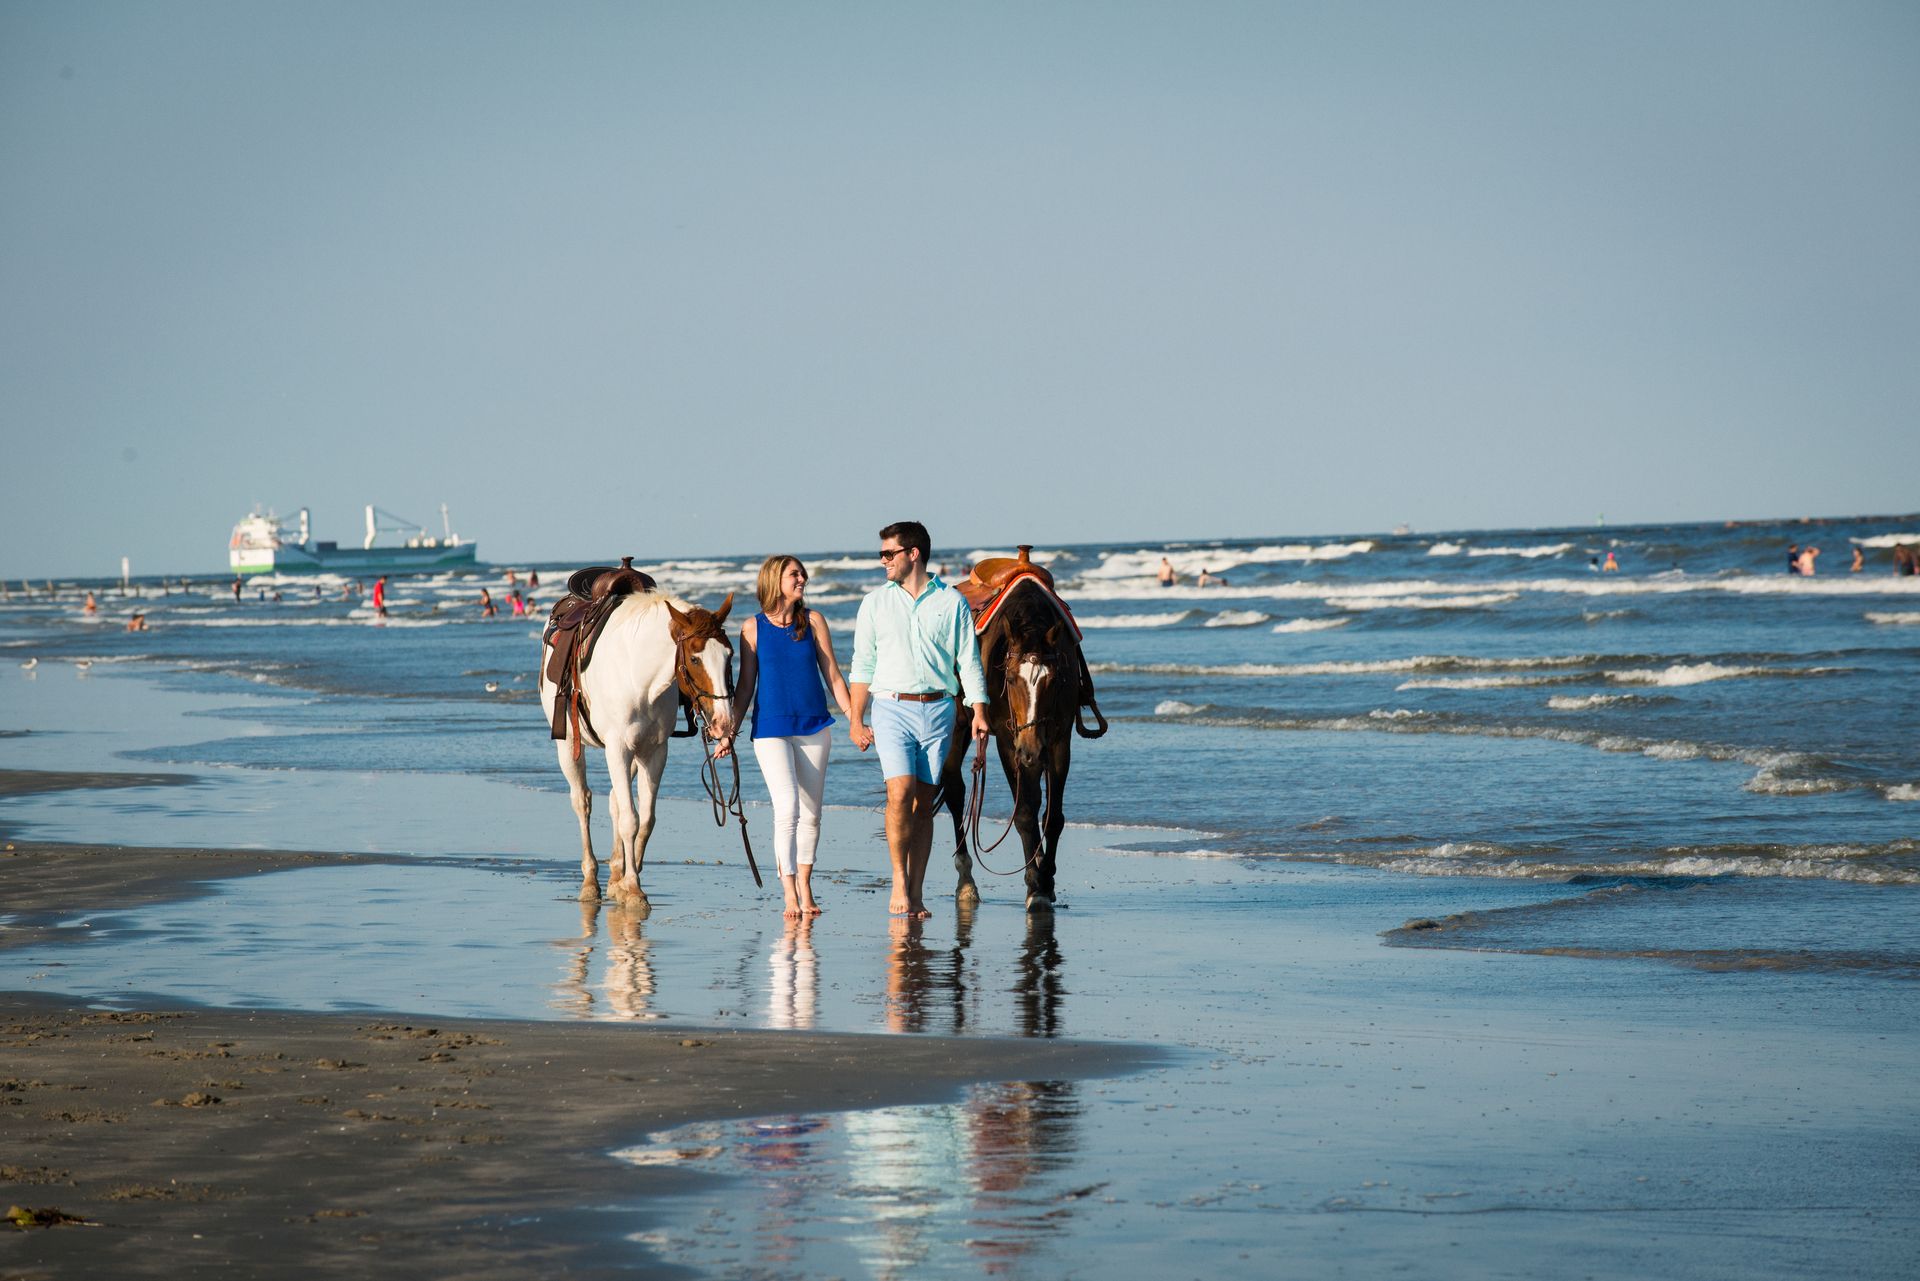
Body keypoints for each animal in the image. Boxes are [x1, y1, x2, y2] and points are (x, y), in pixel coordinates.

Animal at [539, 590, 734, 910]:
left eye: (729, 656)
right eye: (695, 658)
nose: (724, 722)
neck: (638, 676)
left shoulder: (654, 751)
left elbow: (645, 818)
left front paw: (624, 881)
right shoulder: (617, 748)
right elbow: (630, 820)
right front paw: (633, 888)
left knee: (615, 802)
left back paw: (614, 874)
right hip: (568, 744)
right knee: (582, 802)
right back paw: (590, 882)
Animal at [937, 577, 1100, 913]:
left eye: (1055, 680)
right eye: (1010, 679)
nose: (1031, 750)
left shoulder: (1058, 742)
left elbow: (1053, 816)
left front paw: (1046, 879)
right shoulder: (1008, 743)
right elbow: (1024, 813)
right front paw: (1035, 886)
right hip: (960, 728)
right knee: (956, 790)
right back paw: (966, 881)